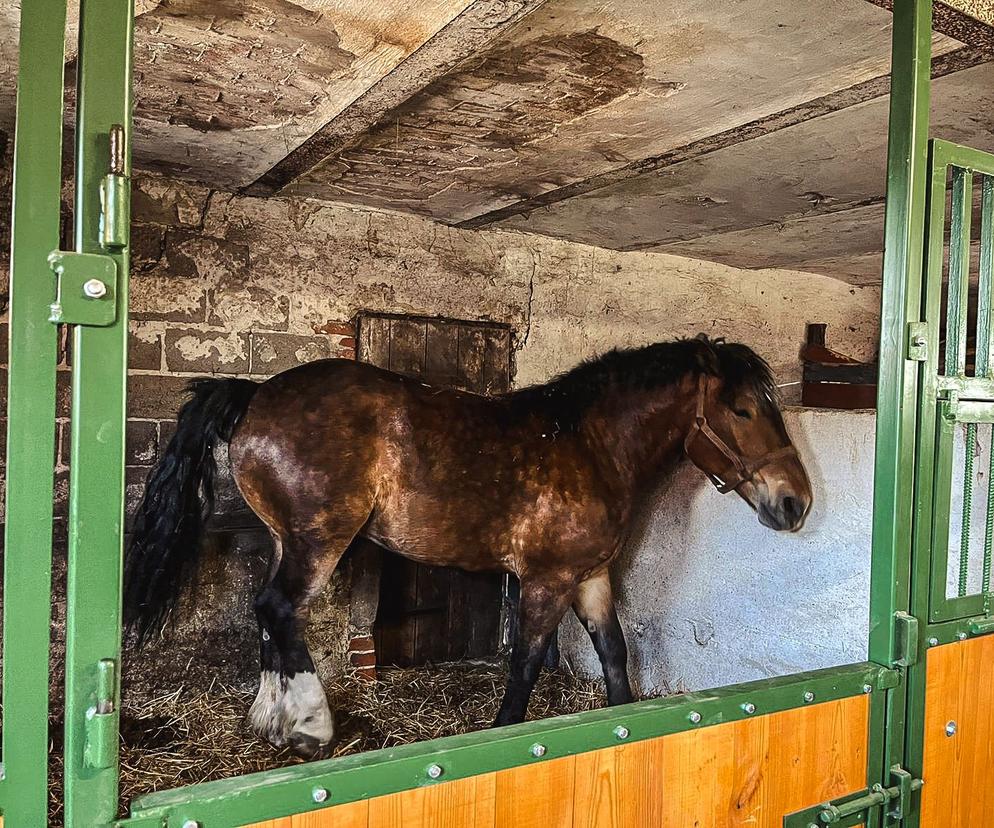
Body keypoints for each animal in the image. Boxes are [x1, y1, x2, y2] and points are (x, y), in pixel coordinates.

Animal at [124, 334, 808, 756]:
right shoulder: (546, 581)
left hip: (284, 539)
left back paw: (273, 721)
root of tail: (255, 394)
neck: (590, 446)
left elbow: (614, 656)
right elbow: (525, 665)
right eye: (743, 410)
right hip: (319, 541)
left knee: (267, 616)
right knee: (277, 608)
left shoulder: (590, 578)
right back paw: (312, 725)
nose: (795, 502)